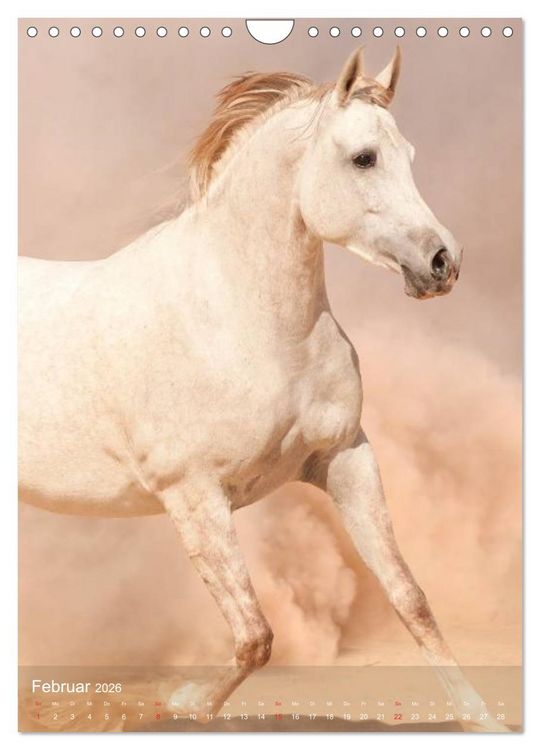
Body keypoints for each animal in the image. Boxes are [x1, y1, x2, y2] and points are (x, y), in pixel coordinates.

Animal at [18, 47, 505, 731]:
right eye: (363, 157)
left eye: (408, 153)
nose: (442, 263)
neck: (245, 321)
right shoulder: (194, 497)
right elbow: (256, 635)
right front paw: (182, 703)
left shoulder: (345, 458)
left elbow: (410, 597)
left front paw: (483, 722)